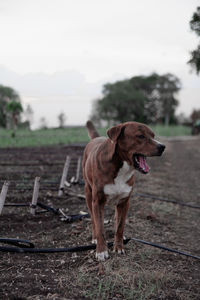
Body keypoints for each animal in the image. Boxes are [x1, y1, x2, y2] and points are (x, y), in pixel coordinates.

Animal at [82, 120, 165, 260]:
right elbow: (100, 227)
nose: (162, 146)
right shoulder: (97, 201)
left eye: (153, 135)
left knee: (116, 219)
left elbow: (120, 226)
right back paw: (94, 238)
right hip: (88, 193)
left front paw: (119, 247)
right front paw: (101, 250)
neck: (121, 167)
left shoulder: (125, 202)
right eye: (140, 136)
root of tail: (95, 139)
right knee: (93, 219)